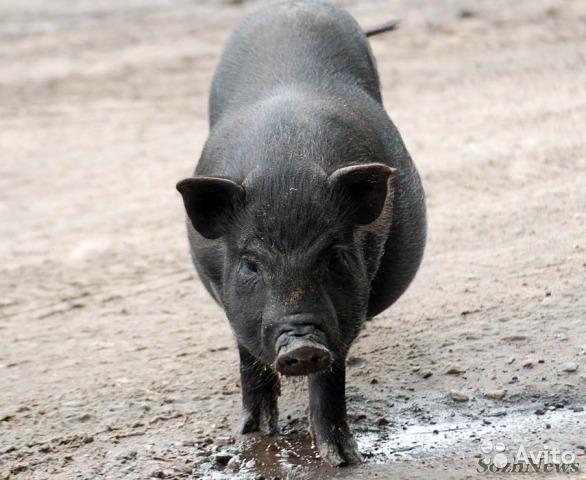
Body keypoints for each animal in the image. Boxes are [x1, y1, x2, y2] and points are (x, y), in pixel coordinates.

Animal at [175, 0, 424, 464]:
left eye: (336, 256)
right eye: (251, 266)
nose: (303, 346)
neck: (285, 165)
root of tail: (291, 6)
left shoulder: (345, 313)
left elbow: (331, 375)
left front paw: (343, 458)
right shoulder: (227, 295)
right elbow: (246, 355)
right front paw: (253, 433)